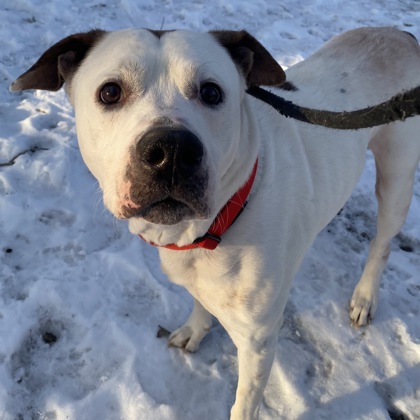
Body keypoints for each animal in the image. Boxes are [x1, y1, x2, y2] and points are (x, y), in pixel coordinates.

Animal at [11, 27, 420, 419]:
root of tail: (400, 35)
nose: (172, 150)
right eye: (110, 92)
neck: (217, 223)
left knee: (382, 243)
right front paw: (196, 329)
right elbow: (198, 302)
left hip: (397, 178)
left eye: (211, 92)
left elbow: (244, 404)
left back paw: (364, 297)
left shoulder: (258, 341)